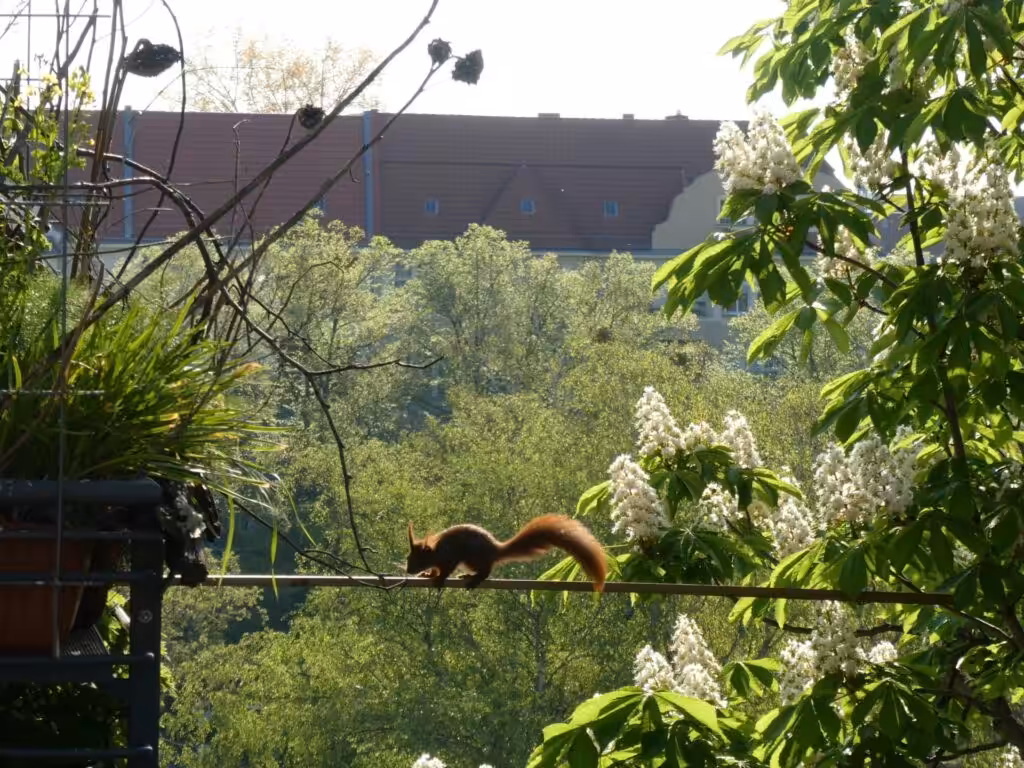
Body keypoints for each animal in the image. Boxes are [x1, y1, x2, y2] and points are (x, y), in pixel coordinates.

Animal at [405, 514, 606, 592]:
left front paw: (439, 579)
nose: (408, 570)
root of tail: (495, 549)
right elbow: (435, 569)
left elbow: (446, 570)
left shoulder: (450, 557)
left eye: (418, 559)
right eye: (408, 558)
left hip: (472, 558)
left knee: (486, 571)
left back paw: (474, 578)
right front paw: (427, 574)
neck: (436, 552)